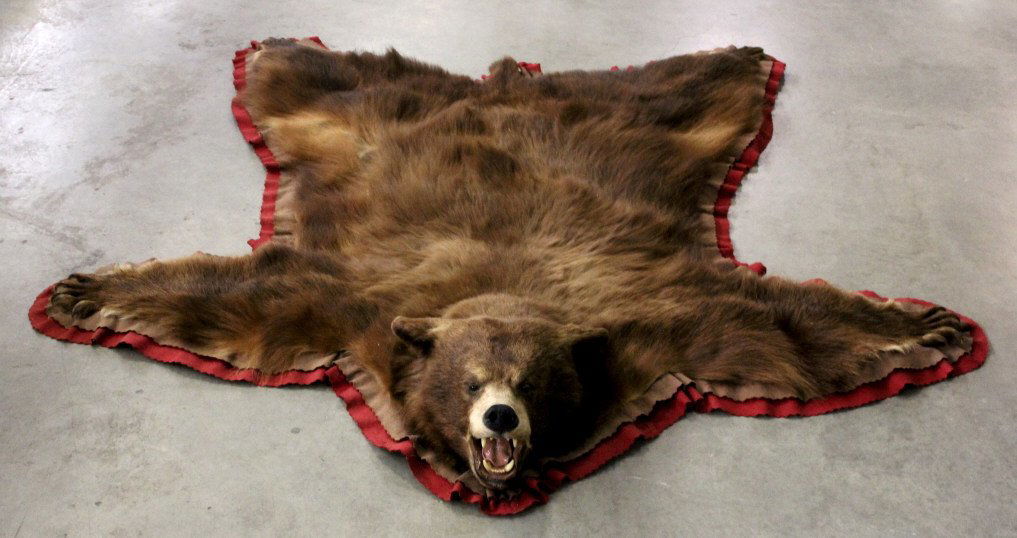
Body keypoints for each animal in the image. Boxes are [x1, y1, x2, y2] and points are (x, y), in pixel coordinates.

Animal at [46, 39, 970, 490]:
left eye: (527, 382)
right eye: (468, 381)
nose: (497, 419)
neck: (499, 290)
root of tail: (503, 82)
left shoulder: (654, 315)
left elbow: (772, 324)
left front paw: (930, 324)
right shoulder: (344, 297)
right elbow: (241, 295)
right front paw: (82, 290)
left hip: (658, 123)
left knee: (692, 86)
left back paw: (736, 56)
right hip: (349, 117)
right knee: (312, 76)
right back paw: (281, 44)